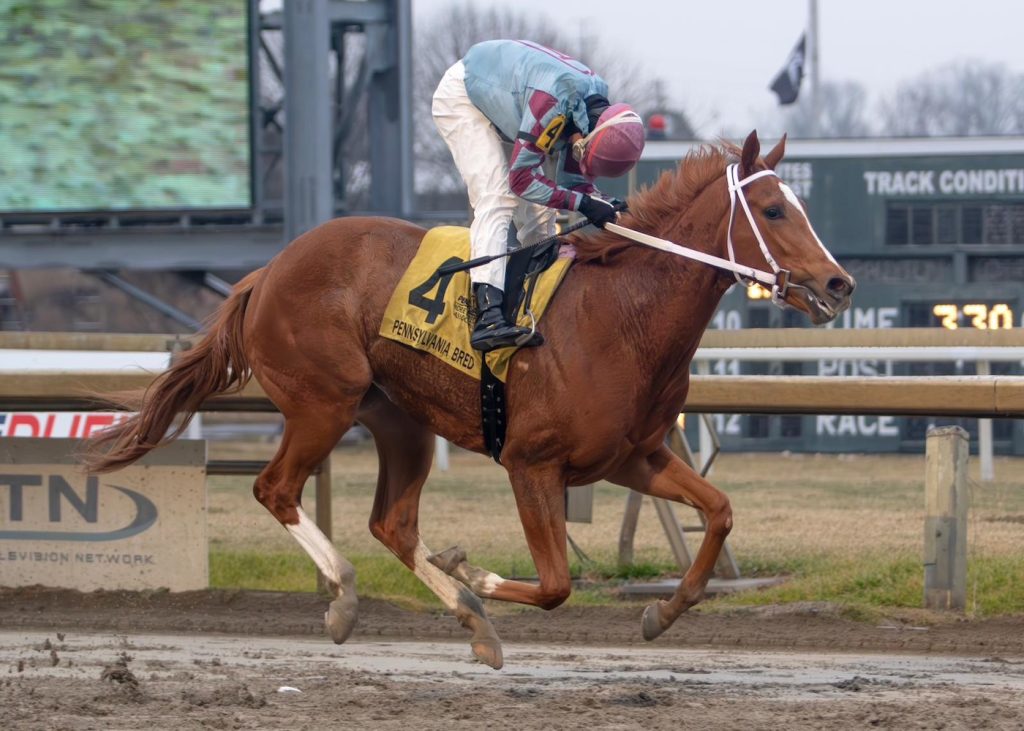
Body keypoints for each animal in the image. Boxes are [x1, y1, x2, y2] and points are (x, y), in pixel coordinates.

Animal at [86, 131, 856, 667]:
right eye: (773, 208)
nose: (839, 283)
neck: (623, 313)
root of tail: (267, 270)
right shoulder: (530, 461)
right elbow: (555, 583)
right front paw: (476, 572)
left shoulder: (632, 456)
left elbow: (719, 511)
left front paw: (660, 614)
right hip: (322, 401)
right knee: (276, 489)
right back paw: (352, 598)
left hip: (400, 420)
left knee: (391, 522)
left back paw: (467, 617)